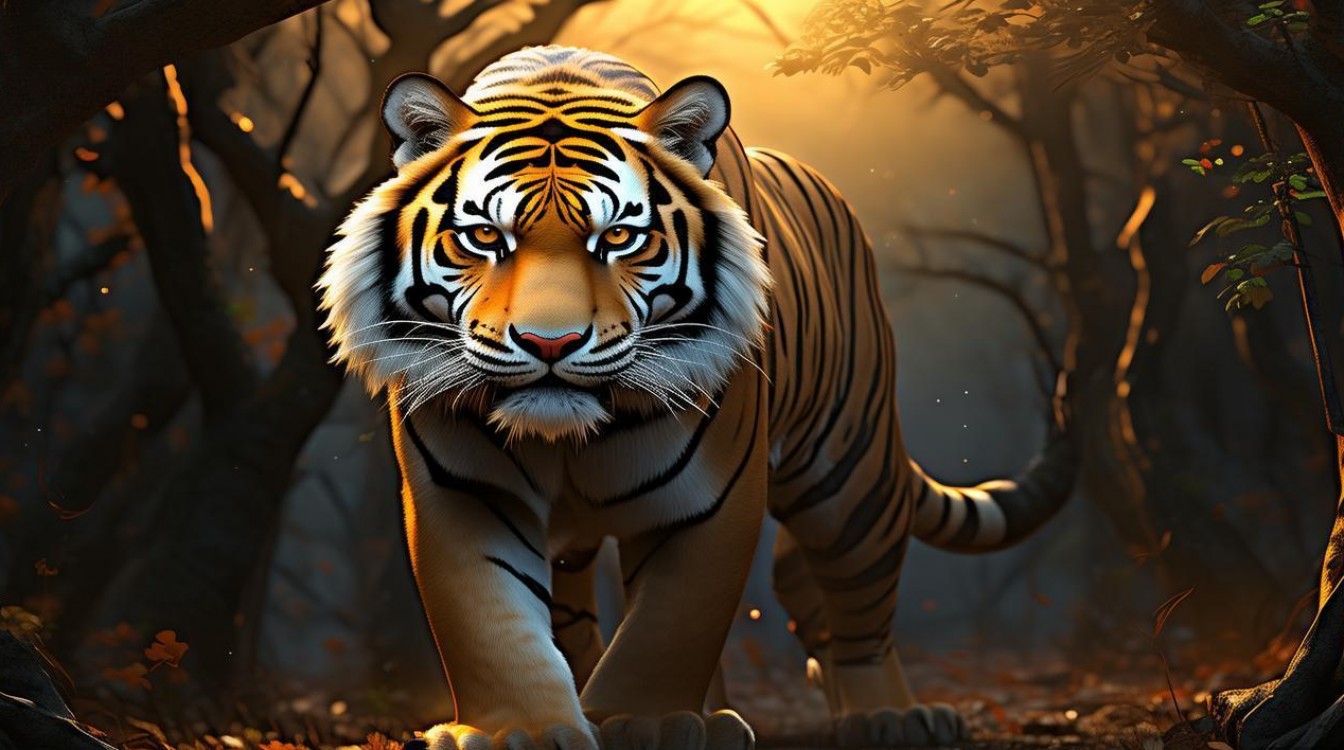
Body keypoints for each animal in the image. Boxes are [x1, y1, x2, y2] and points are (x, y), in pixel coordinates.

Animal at [318, 45, 1075, 750]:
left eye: (620, 238)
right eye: (483, 237)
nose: (548, 343)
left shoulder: (712, 494)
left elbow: (672, 620)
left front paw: (645, 720)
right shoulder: (467, 490)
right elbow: (489, 617)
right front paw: (523, 730)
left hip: (850, 473)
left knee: (858, 596)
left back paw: (887, 715)